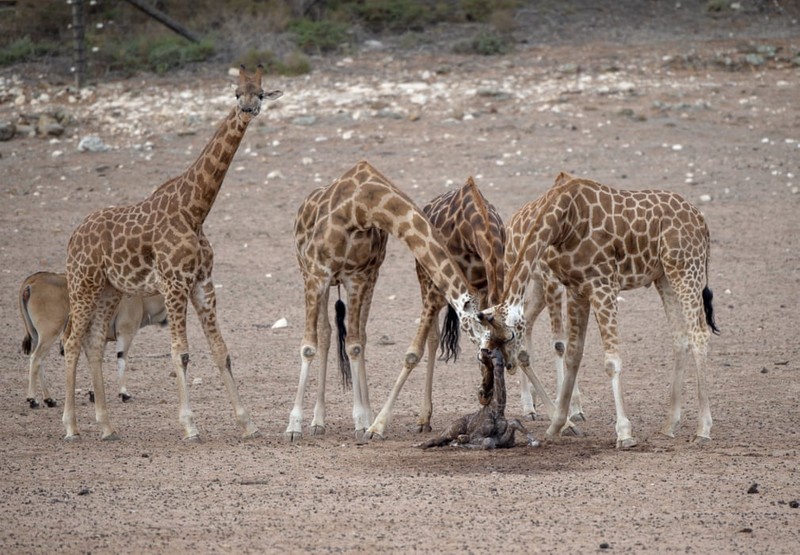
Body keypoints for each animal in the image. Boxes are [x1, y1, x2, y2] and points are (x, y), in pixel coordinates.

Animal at [18, 272, 167, 410]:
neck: (141, 299)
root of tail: (31, 281)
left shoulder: (103, 339)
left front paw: (92, 394)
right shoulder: (125, 333)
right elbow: (121, 360)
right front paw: (124, 394)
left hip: (36, 336)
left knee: (39, 361)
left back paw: (49, 400)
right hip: (49, 334)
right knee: (36, 358)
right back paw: (33, 400)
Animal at [61, 66, 282, 444]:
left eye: (262, 93)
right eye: (236, 93)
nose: (248, 111)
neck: (194, 211)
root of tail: (74, 236)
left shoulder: (203, 283)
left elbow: (222, 352)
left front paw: (248, 423)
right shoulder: (173, 284)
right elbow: (181, 354)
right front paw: (190, 426)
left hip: (110, 289)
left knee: (93, 342)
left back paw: (106, 427)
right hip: (82, 284)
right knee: (72, 341)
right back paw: (71, 426)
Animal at [288, 161, 488, 444]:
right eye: (481, 328)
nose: (489, 357)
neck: (364, 205)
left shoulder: (358, 277)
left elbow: (354, 345)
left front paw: (362, 420)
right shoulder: (317, 271)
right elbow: (308, 347)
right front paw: (293, 426)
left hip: (368, 279)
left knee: (354, 336)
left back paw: (353, 416)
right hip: (308, 272)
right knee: (325, 334)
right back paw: (318, 421)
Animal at [364, 177, 504, 438]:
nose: (484, 394)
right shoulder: (436, 291)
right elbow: (413, 353)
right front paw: (377, 426)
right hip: (427, 284)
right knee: (432, 338)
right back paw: (423, 419)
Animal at [478, 172, 720, 450]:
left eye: (508, 337)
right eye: (489, 344)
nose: (509, 365)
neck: (564, 221)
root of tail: (701, 220)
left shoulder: (603, 284)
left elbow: (611, 361)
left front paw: (624, 433)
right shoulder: (577, 289)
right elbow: (572, 355)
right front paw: (558, 424)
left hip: (687, 269)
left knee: (699, 333)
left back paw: (703, 429)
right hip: (664, 276)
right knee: (680, 337)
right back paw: (669, 425)